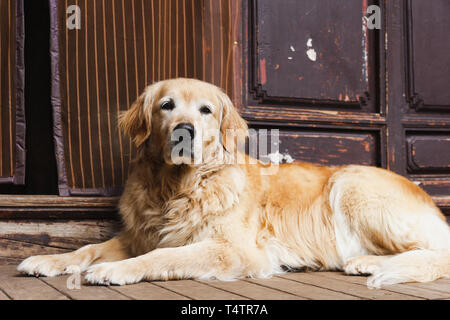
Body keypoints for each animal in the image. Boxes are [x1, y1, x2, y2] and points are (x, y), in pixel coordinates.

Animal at [17, 79, 450, 288]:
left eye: (206, 110)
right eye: (166, 105)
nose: (185, 130)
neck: (178, 187)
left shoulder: (233, 250)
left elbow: (164, 256)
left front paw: (115, 271)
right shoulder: (139, 234)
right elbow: (88, 248)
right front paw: (46, 260)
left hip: (351, 183)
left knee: (435, 252)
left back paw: (369, 262)